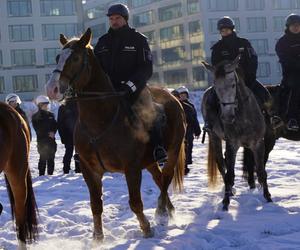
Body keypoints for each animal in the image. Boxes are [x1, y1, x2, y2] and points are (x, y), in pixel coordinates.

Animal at [46, 28, 186, 240]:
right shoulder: (90, 170)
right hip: (150, 161)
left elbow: (135, 203)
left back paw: (162, 210)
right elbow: (96, 205)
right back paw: (168, 210)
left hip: (173, 150)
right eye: (57, 57)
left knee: (166, 177)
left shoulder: (132, 168)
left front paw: (146, 229)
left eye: (76, 58)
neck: (101, 120)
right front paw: (98, 238)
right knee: (159, 178)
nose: (52, 89)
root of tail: (172, 97)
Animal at [200, 56, 274, 211]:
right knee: (221, 164)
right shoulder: (232, 144)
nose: (227, 117)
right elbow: (229, 174)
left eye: (233, 85)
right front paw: (225, 202)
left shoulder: (258, 143)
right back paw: (230, 191)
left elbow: (261, 171)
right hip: (214, 137)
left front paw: (268, 198)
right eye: (216, 87)